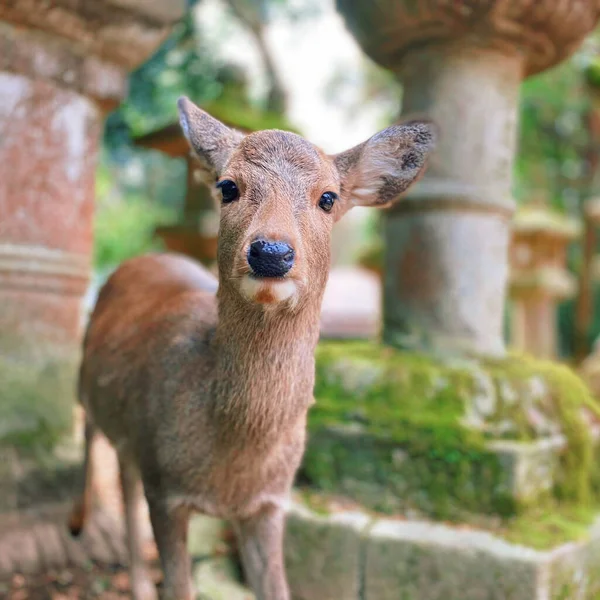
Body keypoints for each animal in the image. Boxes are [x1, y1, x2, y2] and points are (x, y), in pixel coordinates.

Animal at [68, 98, 436, 600]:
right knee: (92, 444)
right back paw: (80, 526)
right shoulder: (165, 489)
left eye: (328, 198)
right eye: (228, 187)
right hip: (88, 385)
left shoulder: (269, 503)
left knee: (122, 471)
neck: (234, 469)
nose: (271, 252)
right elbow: (179, 585)